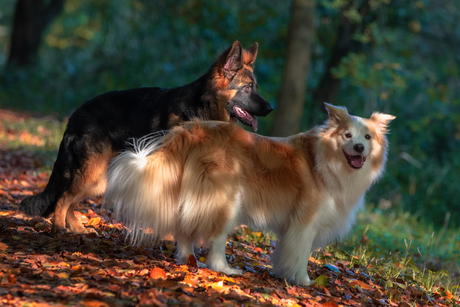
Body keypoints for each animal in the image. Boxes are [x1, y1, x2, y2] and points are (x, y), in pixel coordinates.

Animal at [19, 40, 274, 233]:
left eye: (255, 87)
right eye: (248, 88)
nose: (271, 108)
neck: (203, 108)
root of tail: (75, 115)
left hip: (97, 180)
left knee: (69, 200)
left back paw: (76, 229)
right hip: (91, 174)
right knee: (63, 199)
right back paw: (58, 230)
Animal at [104, 104, 396, 288]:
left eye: (367, 137)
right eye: (347, 135)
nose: (359, 148)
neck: (328, 159)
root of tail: (192, 130)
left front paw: (281, 273)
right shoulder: (305, 222)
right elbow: (300, 254)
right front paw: (302, 281)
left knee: (184, 230)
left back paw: (187, 260)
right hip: (226, 200)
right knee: (215, 239)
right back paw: (225, 269)